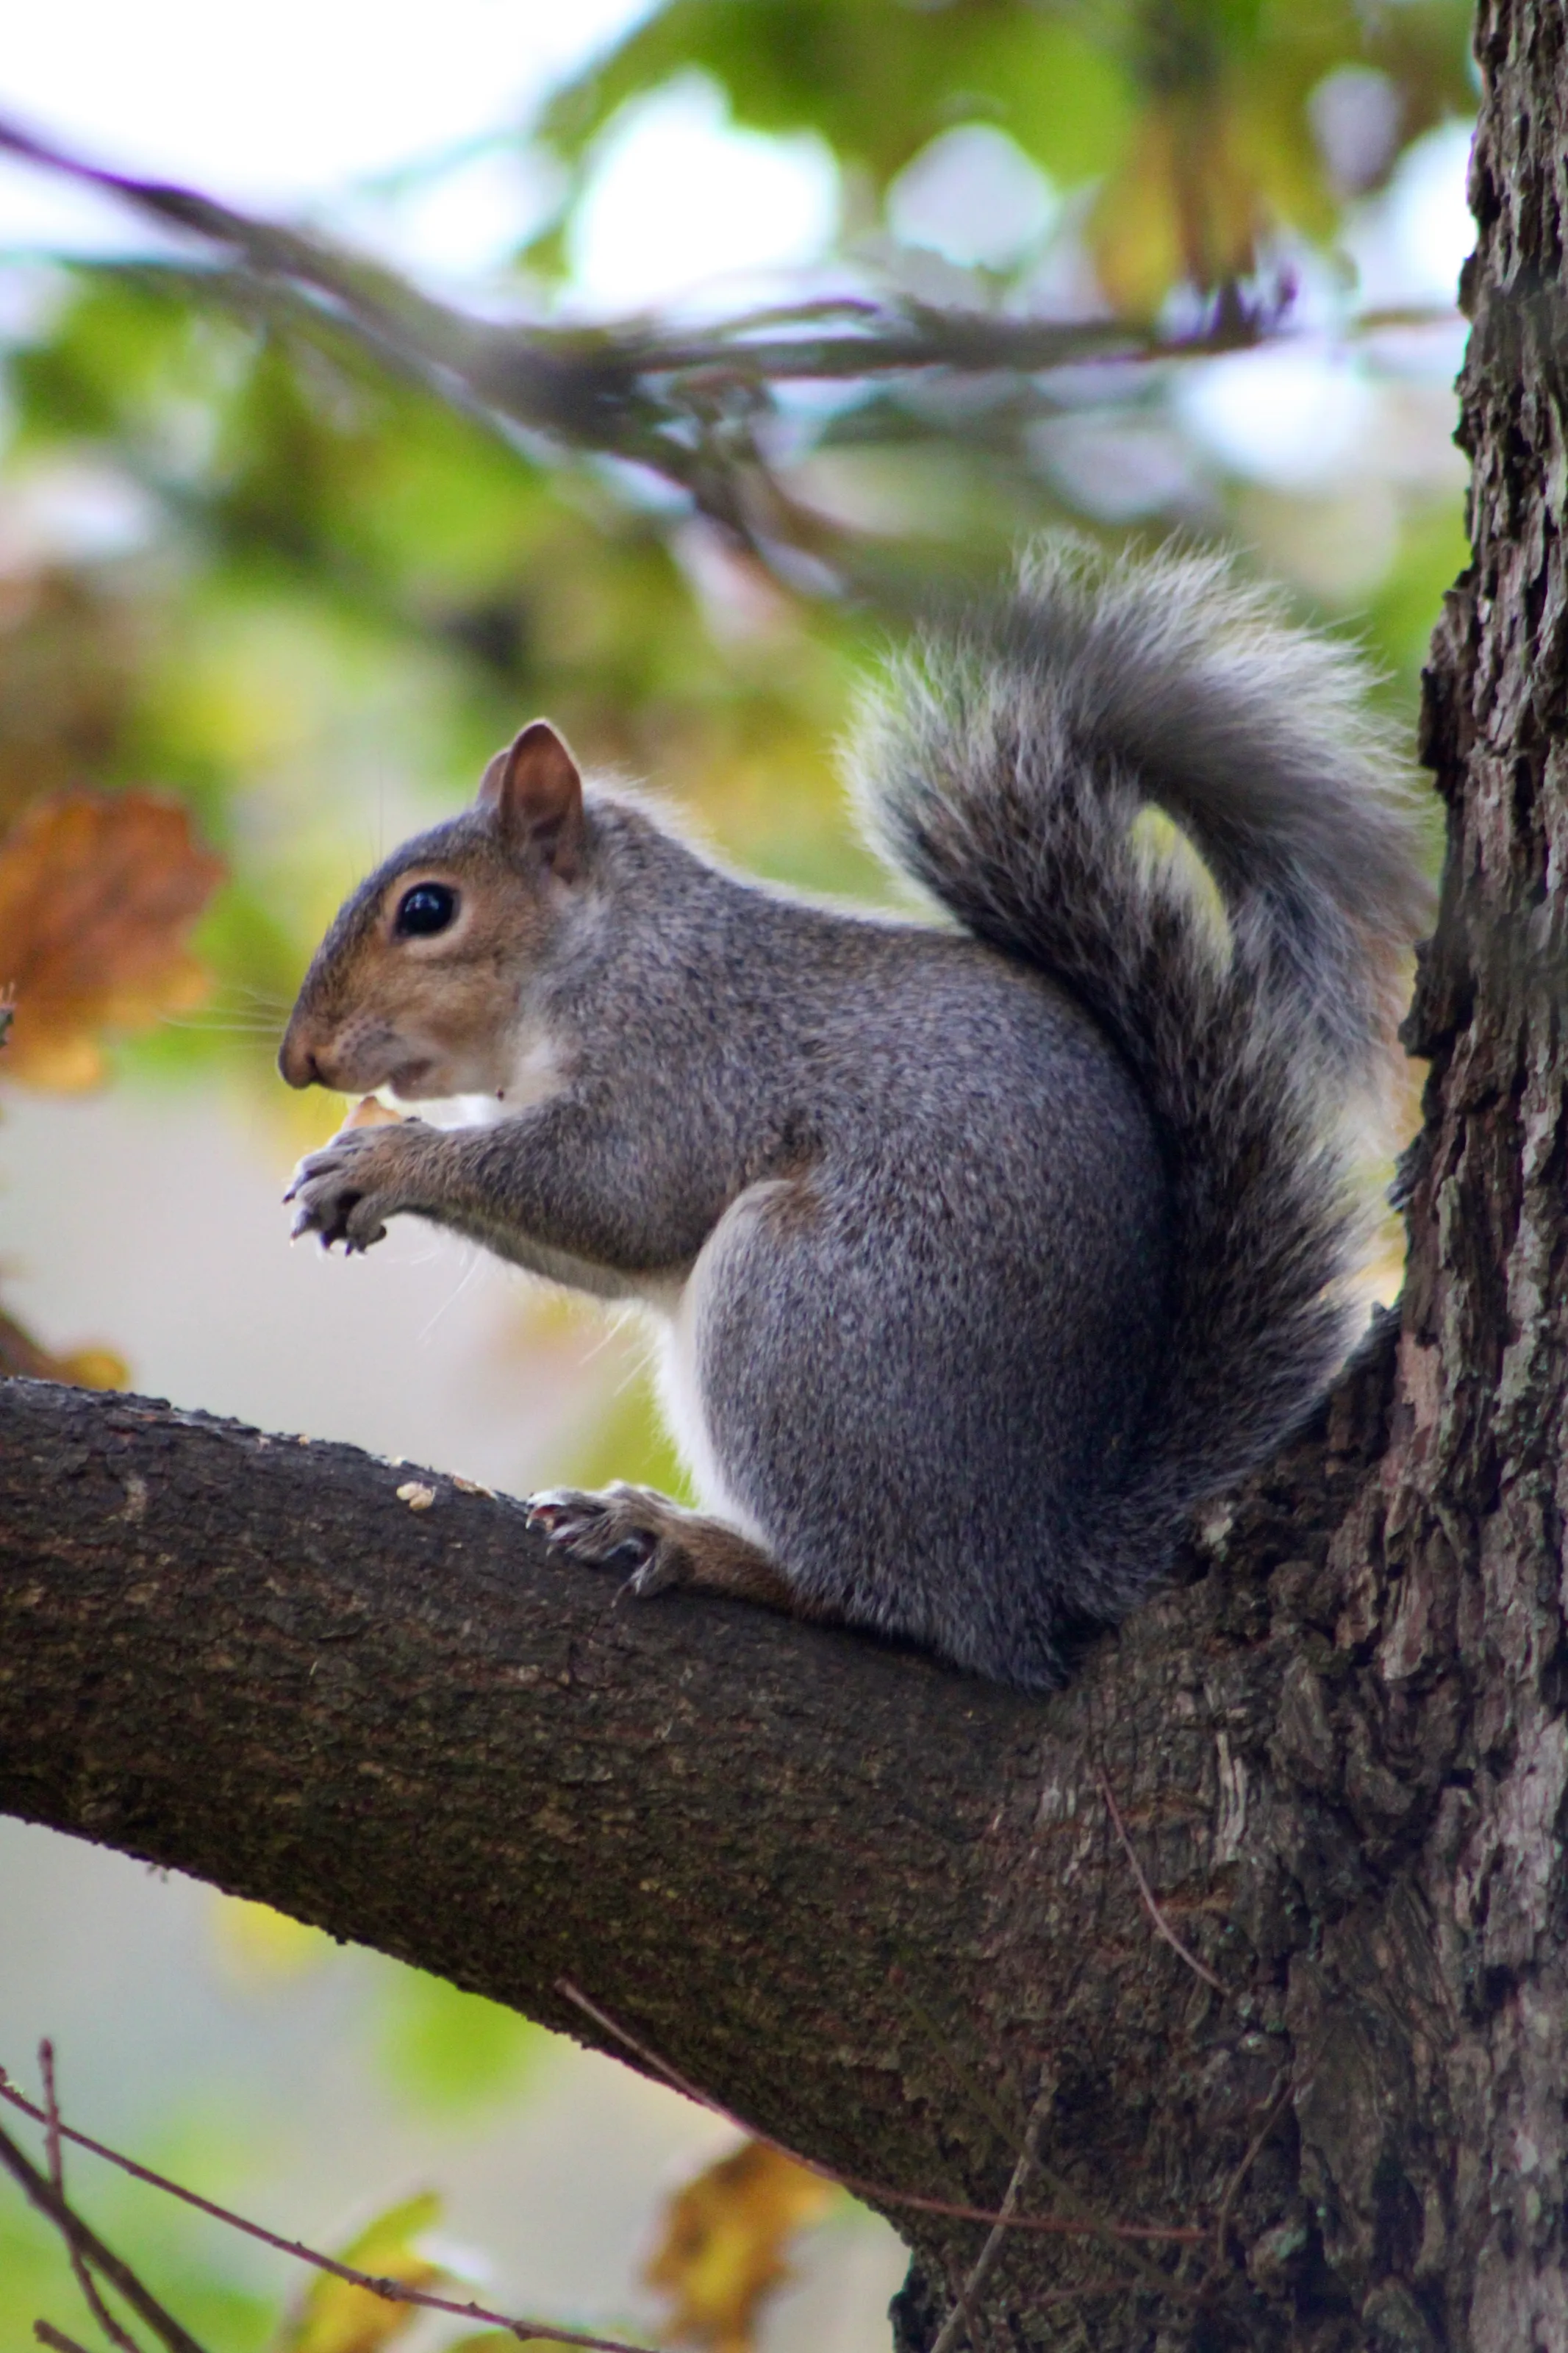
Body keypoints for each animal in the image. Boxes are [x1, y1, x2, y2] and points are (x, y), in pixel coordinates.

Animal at [279, 541, 1429, 1692]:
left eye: (429, 910)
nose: (300, 1061)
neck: (601, 948)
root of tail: (1029, 1564)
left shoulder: (685, 1056)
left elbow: (619, 1191)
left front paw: (384, 1161)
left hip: (802, 1312)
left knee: (877, 1598)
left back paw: (694, 1541)